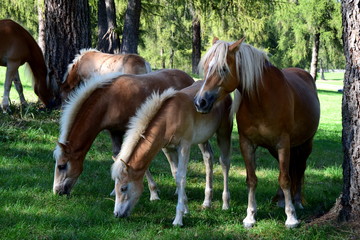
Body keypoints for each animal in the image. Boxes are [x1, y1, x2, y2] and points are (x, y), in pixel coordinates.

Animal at [53, 68, 194, 199]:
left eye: (61, 166)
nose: (56, 191)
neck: (109, 101)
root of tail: (189, 77)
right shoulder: (115, 132)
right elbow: (118, 156)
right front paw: (114, 190)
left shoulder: (133, 133)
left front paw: (153, 193)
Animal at [110, 80, 233, 227]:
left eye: (123, 188)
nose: (117, 214)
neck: (169, 118)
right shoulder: (167, 148)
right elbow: (175, 174)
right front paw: (186, 209)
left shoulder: (184, 146)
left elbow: (181, 177)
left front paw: (178, 219)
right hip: (203, 139)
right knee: (208, 158)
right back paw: (207, 202)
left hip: (224, 131)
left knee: (224, 163)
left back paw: (225, 204)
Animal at [194, 37, 320, 229]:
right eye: (207, 67)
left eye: (223, 69)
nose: (200, 102)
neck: (262, 100)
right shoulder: (247, 144)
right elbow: (252, 179)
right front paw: (250, 216)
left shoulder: (283, 143)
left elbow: (285, 179)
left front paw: (291, 217)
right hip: (274, 149)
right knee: (290, 169)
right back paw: (281, 200)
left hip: (305, 144)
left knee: (299, 168)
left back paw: (297, 201)